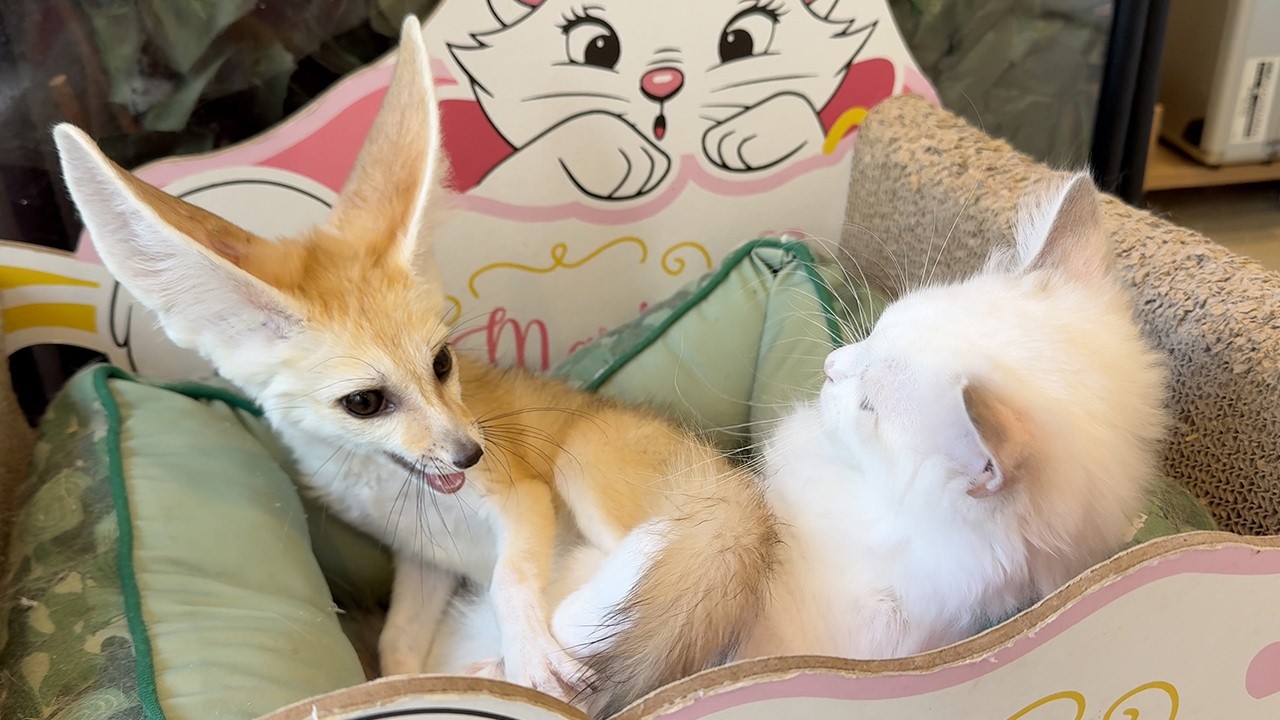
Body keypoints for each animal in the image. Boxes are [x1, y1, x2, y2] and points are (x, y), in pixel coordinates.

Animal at [52, 16, 778, 716]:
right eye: (365, 402)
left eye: (441, 361)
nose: (469, 454)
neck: (400, 494)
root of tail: (742, 487)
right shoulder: (423, 561)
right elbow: (400, 645)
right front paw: (416, 685)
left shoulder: (521, 497)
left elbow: (511, 579)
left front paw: (524, 658)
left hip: (592, 474)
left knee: (626, 570)